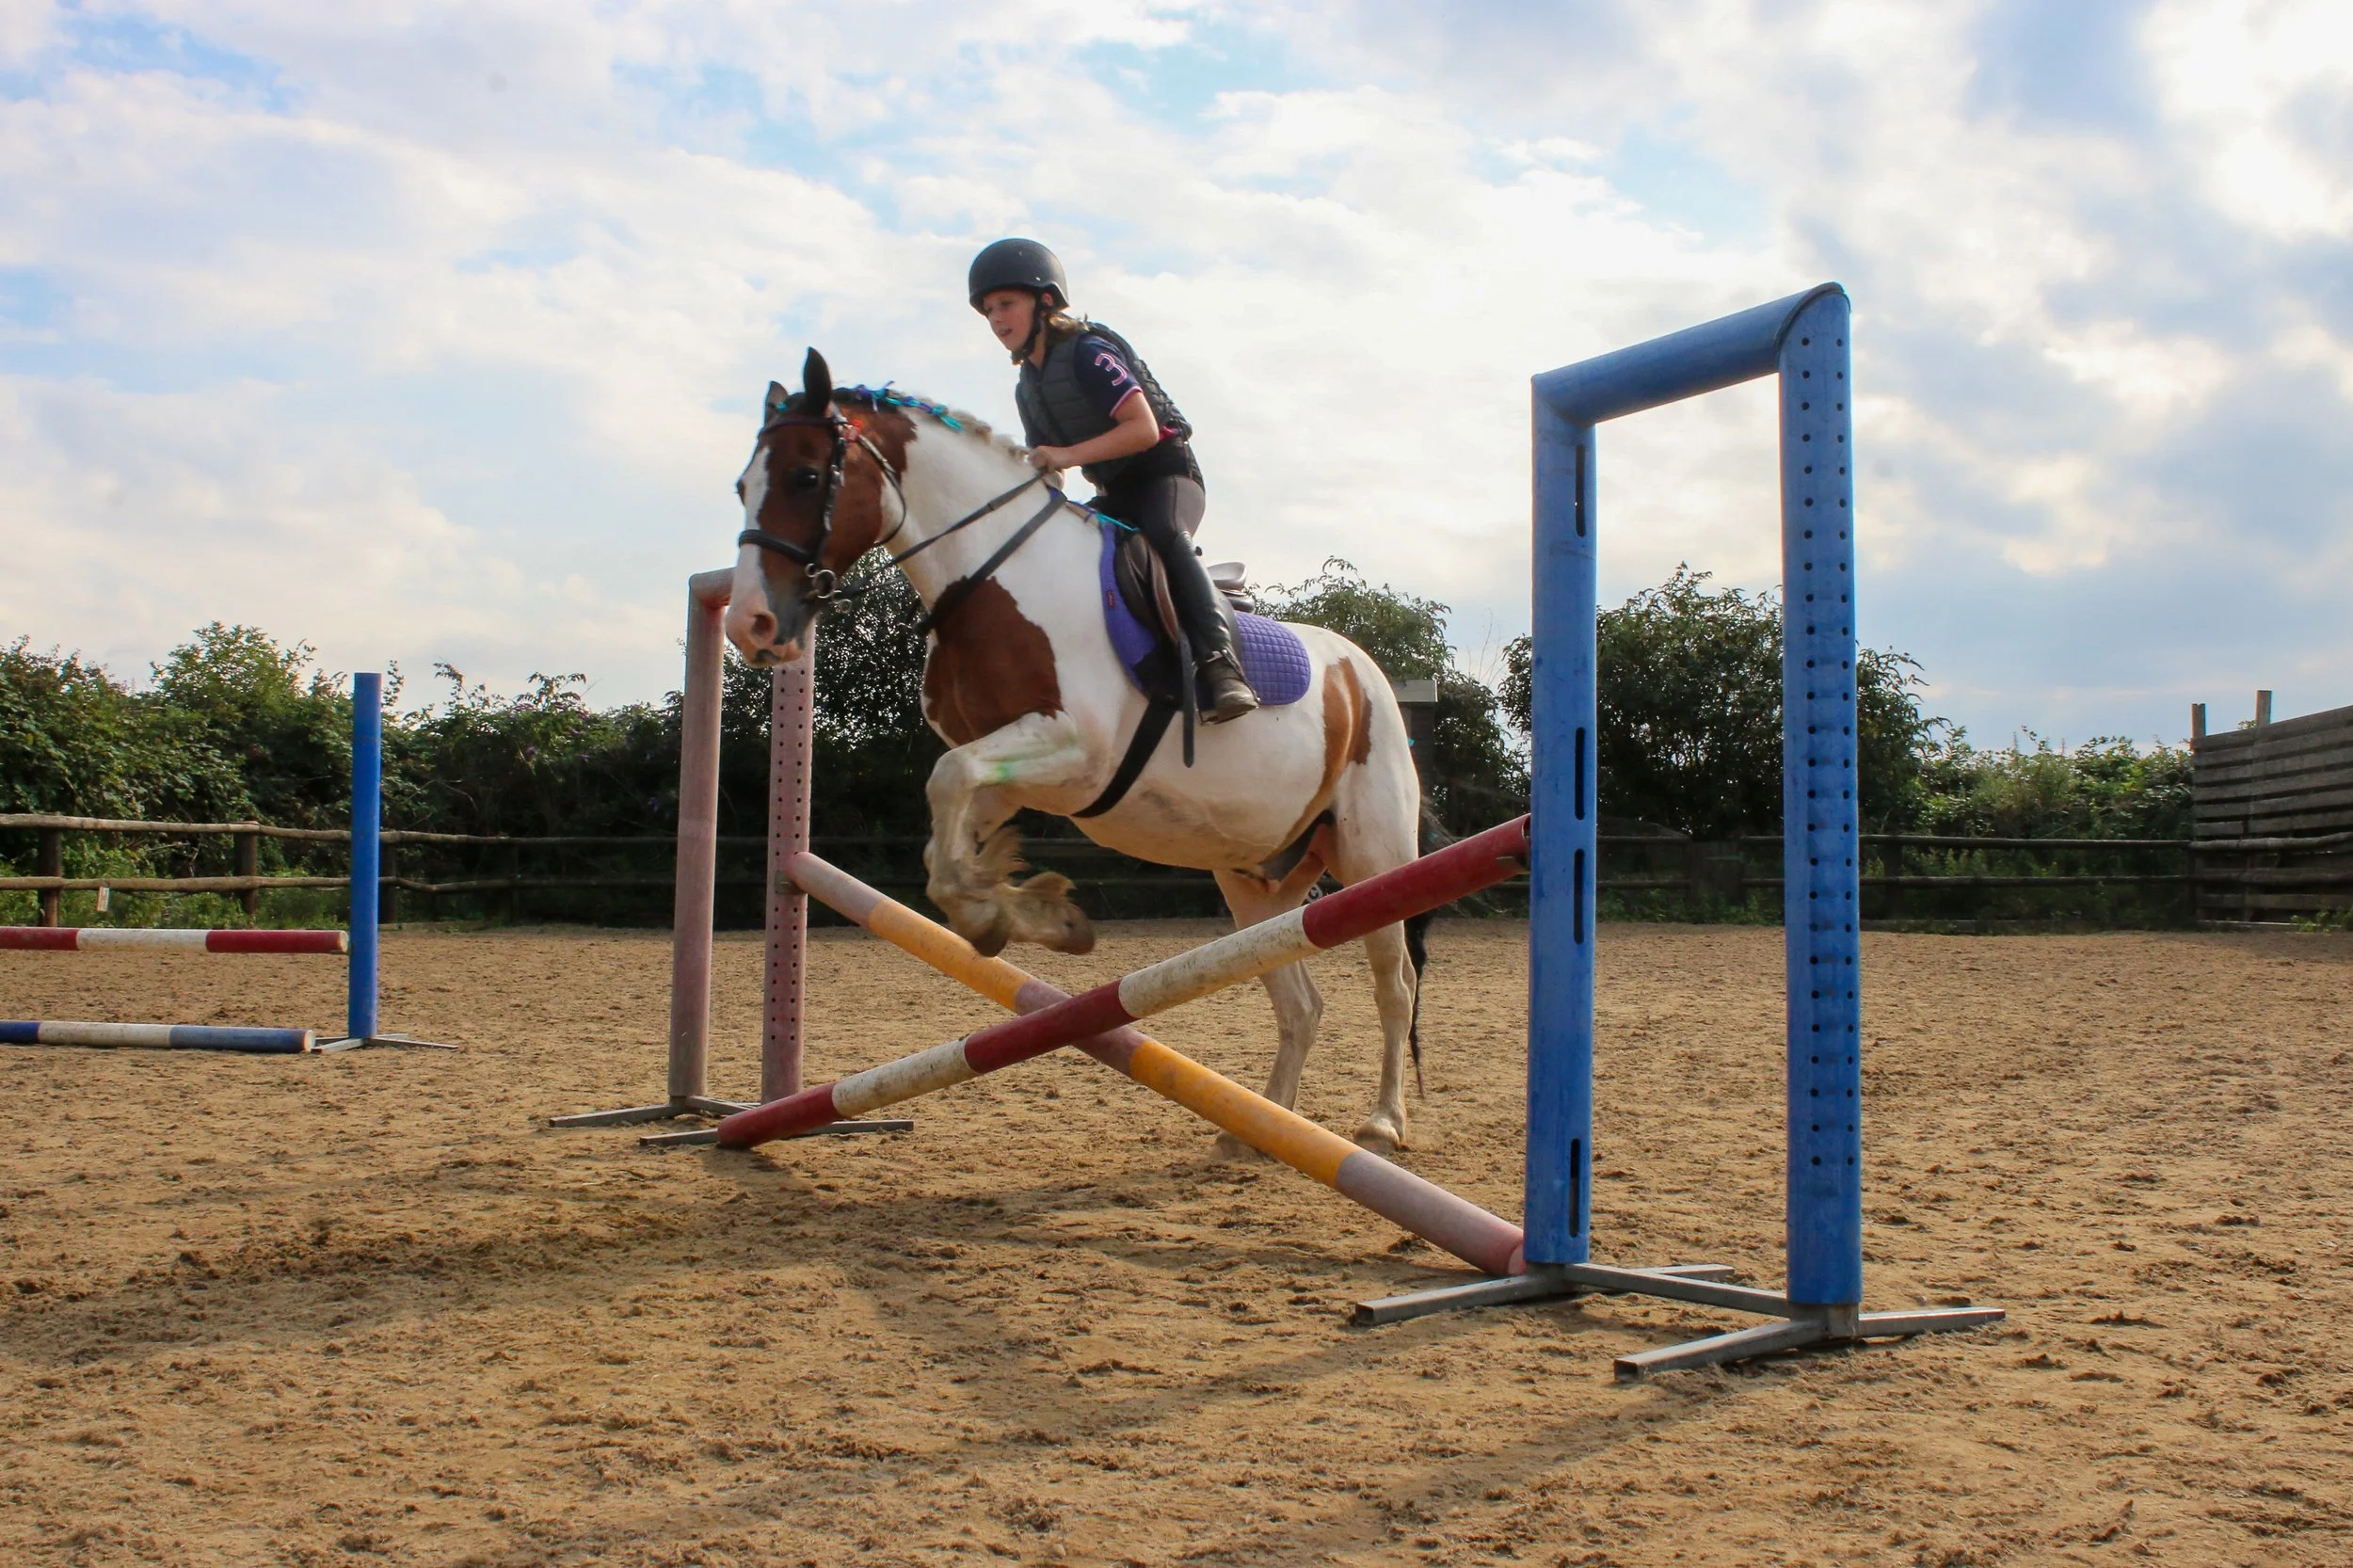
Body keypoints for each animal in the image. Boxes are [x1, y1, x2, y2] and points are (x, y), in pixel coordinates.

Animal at [725, 350, 1430, 1152]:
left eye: (806, 476)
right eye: (743, 487)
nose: (750, 625)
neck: (993, 576)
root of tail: (1365, 672)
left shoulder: (1077, 751)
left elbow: (946, 781)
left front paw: (1016, 912)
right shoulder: (1012, 770)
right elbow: (943, 847)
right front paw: (1024, 916)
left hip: (1374, 853)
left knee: (1394, 984)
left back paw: (1381, 1123)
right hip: (1252, 877)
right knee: (1300, 1002)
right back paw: (1258, 1129)